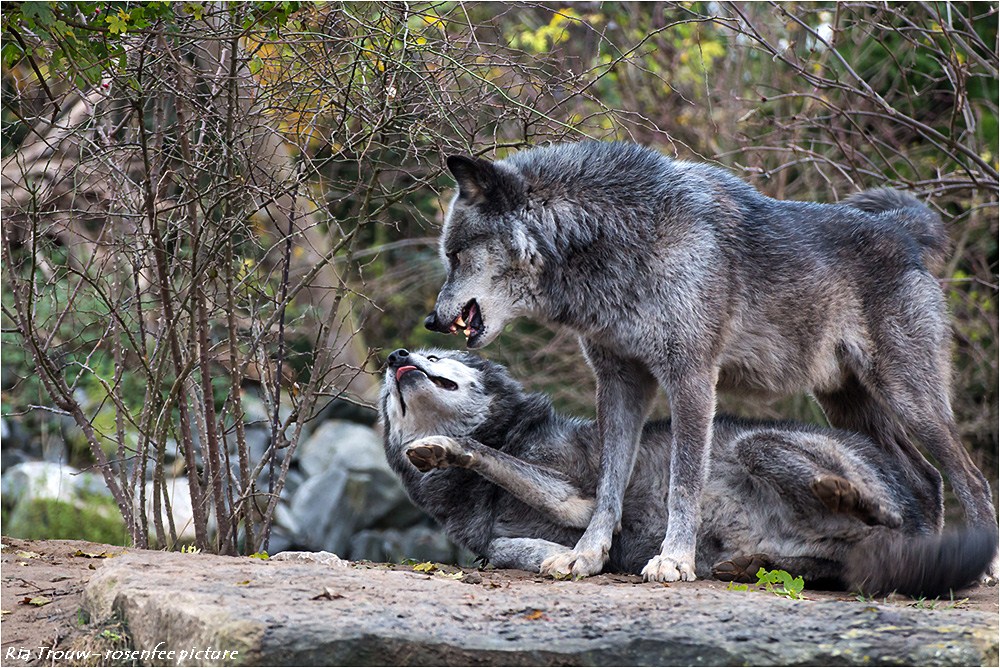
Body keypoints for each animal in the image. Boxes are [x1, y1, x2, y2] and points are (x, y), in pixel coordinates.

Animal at [378, 348, 996, 596]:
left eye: (436, 355)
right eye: (389, 394)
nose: (394, 356)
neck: (508, 430)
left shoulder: (580, 495)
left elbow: (493, 460)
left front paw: (447, 446)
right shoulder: (492, 542)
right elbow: (504, 551)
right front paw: (557, 557)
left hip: (759, 444)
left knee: (884, 514)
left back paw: (841, 493)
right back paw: (750, 564)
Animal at [424, 144, 1000, 580]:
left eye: (454, 255)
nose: (432, 320)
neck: (615, 240)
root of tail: (902, 231)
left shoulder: (691, 376)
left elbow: (685, 482)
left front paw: (674, 561)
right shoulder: (620, 382)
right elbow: (608, 484)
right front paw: (585, 555)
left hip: (909, 397)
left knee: (968, 477)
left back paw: (980, 564)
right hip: (850, 407)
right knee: (924, 480)